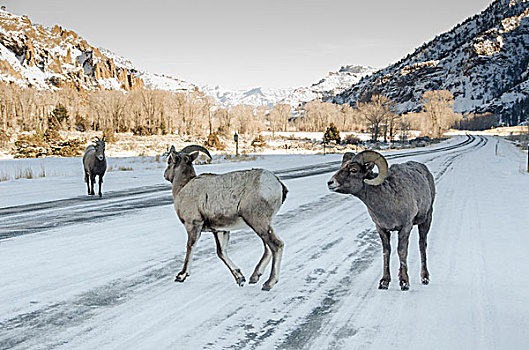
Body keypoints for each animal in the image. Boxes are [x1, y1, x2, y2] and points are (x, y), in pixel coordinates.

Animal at [165, 144, 288, 290]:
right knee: (268, 248)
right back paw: (254, 277)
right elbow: (221, 252)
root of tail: (277, 184)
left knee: (276, 245)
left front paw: (181, 276)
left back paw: (269, 283)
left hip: (258, 223)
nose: (165, 175)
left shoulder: (193, 225)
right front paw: (240, 278)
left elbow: (190, 247)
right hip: (264, 224)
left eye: (169, 161)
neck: (183, 188)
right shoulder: (220, 230)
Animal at [328, 150, 436, 290]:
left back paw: (424, 278)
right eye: (341, 167)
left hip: (426, 219)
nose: (330, 183)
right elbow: (386, 252)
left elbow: (402, 252)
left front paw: (404, 283)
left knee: (422, 245)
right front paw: (384, 282)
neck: (388, 201)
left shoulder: (405, 228)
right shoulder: (382, 229)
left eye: (353, 170)